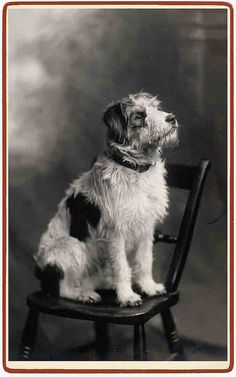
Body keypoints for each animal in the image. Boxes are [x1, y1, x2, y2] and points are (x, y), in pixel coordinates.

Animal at [34, 91, 179, 306]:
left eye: (157, 108)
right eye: (139, 116)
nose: (171, 118)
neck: (135, 169)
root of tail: (41, 271)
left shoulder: (146, 228)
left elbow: (144, 261)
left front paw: (149, 287)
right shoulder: (115, 233)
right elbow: (121, 267)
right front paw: (127, 296)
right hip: (71, 248)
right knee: (62, 289)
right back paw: (83, 294)